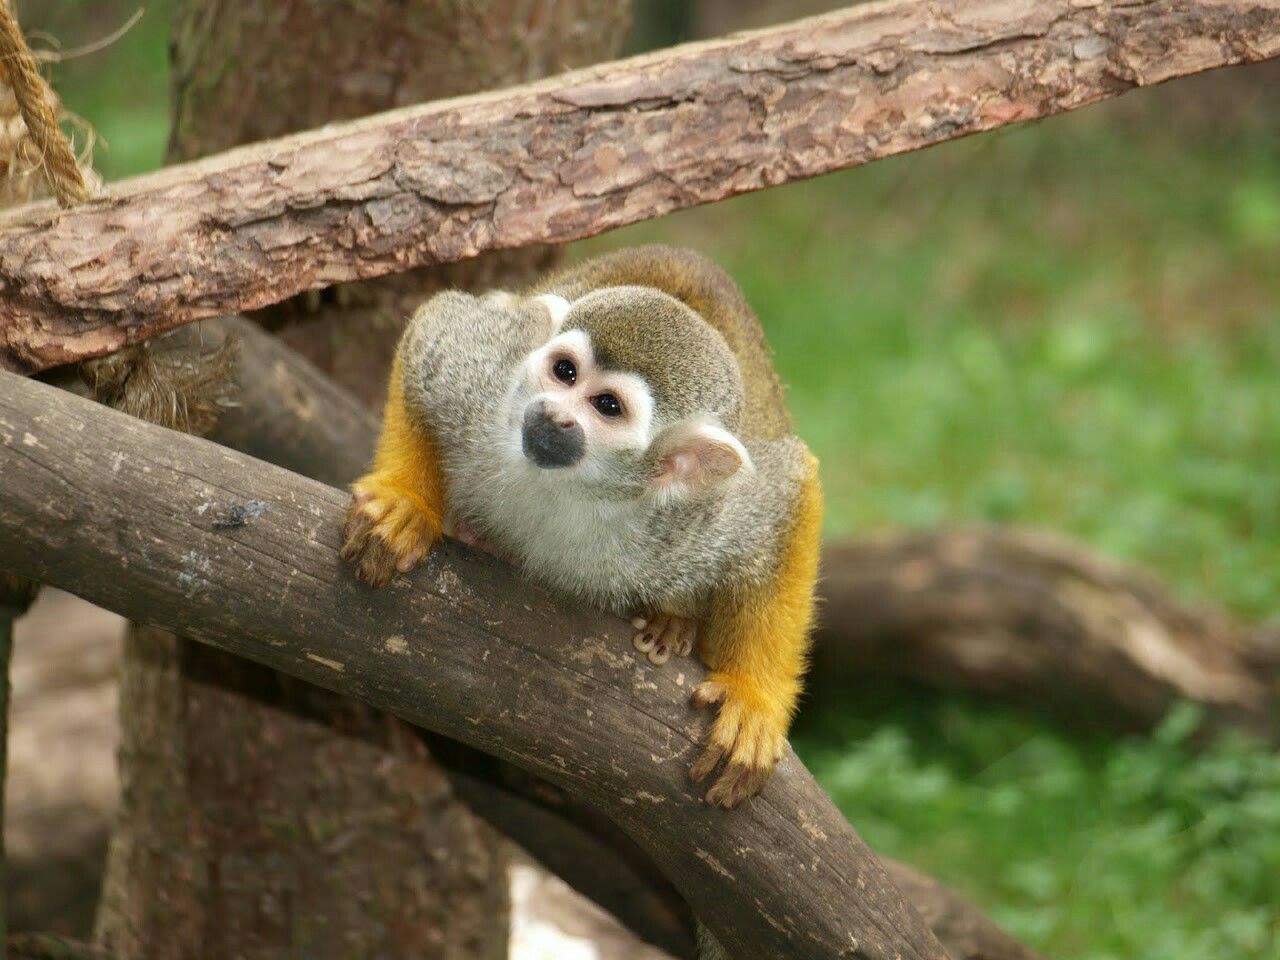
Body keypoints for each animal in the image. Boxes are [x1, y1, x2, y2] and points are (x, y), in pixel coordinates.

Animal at [340, 244, 819, 808]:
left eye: (606, 406)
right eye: (564, 372)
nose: (551, 414)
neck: (571, 488)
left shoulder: (696, 517)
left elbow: (789, 493)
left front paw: (752, 699)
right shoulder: (487, 385)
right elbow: (437, 328)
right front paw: (406, 503)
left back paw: (672, 621)